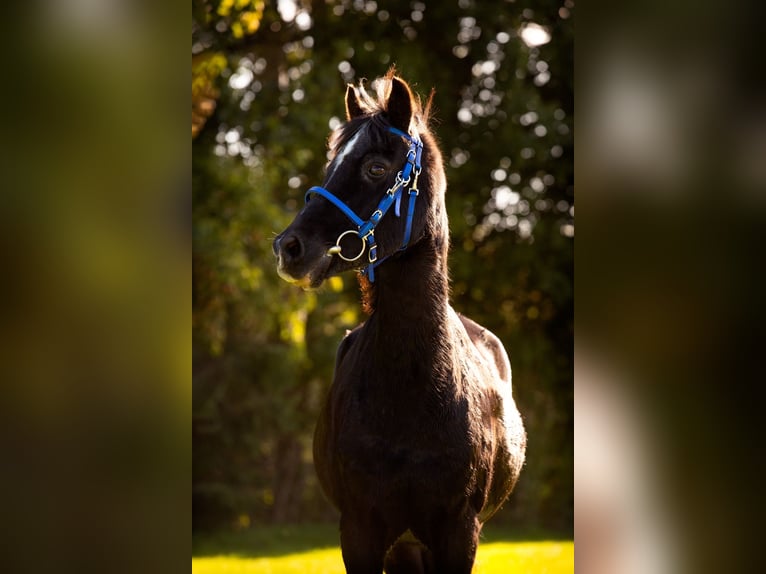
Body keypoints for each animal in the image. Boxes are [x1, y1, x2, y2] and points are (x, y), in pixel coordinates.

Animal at [272, 70, 528, 572]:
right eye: (330, 165)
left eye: (375, 167)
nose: (289, 248)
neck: (415, 388)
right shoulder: (360, 532)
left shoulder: (459, 534)